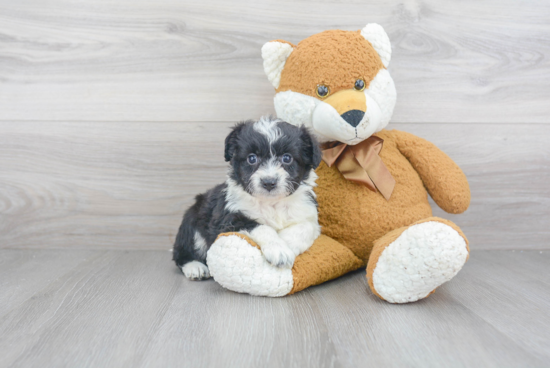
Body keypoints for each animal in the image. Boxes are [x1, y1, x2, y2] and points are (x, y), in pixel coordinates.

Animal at [174, 116, 324, 280]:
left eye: (287, 158)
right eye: (252, 158)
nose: (269, 182)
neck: (272, 203)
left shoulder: (307, 214)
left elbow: (304, 228)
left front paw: (287, 246)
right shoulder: (230, 219)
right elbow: (261, 227)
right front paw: (278, 249)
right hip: (192, 223)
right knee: (182, 252)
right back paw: (195, 267)